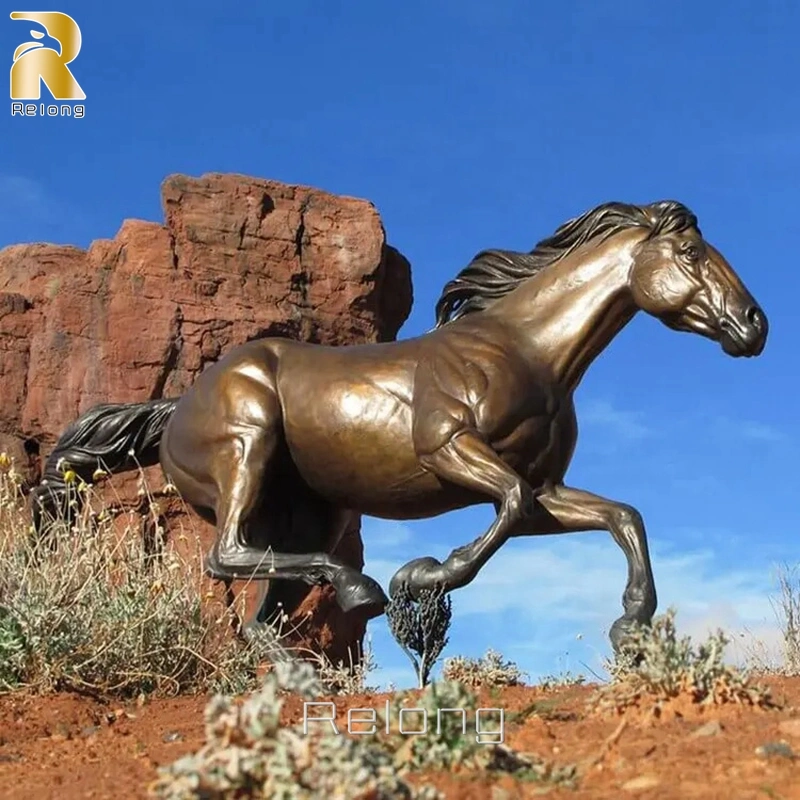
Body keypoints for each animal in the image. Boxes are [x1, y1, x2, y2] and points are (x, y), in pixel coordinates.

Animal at [31, 198, 768, 648]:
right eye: (693, 253)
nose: (755, 326)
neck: (526, 350)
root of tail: (176, 408)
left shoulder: (551, 492)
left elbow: (622, 517)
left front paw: (632, 624)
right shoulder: (451, 448)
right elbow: (507, 503)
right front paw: (425, 575)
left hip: (307, 515)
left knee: (266, 611)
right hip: (247, 447)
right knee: (226, 555)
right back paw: (364, 590)